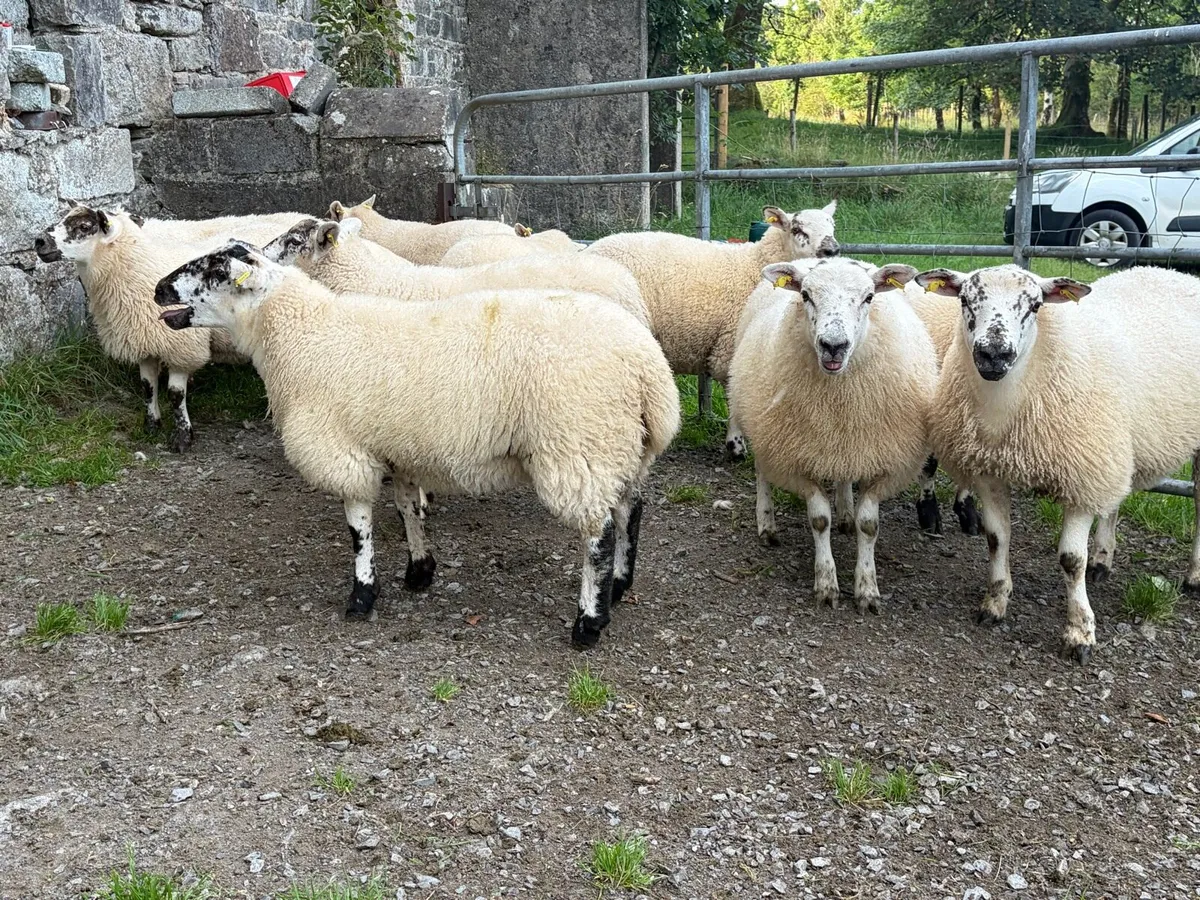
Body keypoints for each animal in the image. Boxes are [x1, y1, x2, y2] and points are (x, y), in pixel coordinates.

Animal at [34, 205, 253, 452]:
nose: (39, 241)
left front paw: (182, 437)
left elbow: (175, 395)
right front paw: (151, 426)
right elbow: (147, 387)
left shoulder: (182, 346)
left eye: (84, 226)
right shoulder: (143, 339)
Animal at [153, 242, 680, 647]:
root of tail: (648, 368)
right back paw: (619, 585)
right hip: (619, 446)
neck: (299, 335)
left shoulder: (344, 450)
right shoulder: (399, 447)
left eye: (216, 271)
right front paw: (420, 571)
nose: (158, 288)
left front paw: (362, 596)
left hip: (579, 446)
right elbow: (409, 509)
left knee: (598, 534)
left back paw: (589, 622)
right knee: (630, 509)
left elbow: (358, 529)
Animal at [586, 202, 839, 458]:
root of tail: (590, 249)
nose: (832, 250)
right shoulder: (730, 347)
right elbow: (733, 393)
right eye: (797, 229)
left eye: (832, 226)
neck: (756, 265)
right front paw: (736, 445)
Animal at [728, 257, 936, 615]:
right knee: (763, 472)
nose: (833, 346)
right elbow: (819, 520)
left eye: (869, 297)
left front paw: (867, 589)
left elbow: (869, 525)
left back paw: (846, 513)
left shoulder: (882, 459)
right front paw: (826, 584)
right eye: (806, 295)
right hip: (761, 424)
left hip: (842, 446)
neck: (839, 400)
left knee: (843, 476)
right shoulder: (796, 457)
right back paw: (766, 524)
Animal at [919, 263, 1200, 663]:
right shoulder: (992, 471)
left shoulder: (1079, 478)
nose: (994, 354)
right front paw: (995, 602)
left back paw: (1193, 577)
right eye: (964, 300)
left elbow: (1070, 559)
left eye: (1036, 305)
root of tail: (1173, 272)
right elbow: (996, 538)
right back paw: (1102, 560)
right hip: (1111, 447)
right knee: (1114, 501)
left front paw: (1079, 632)